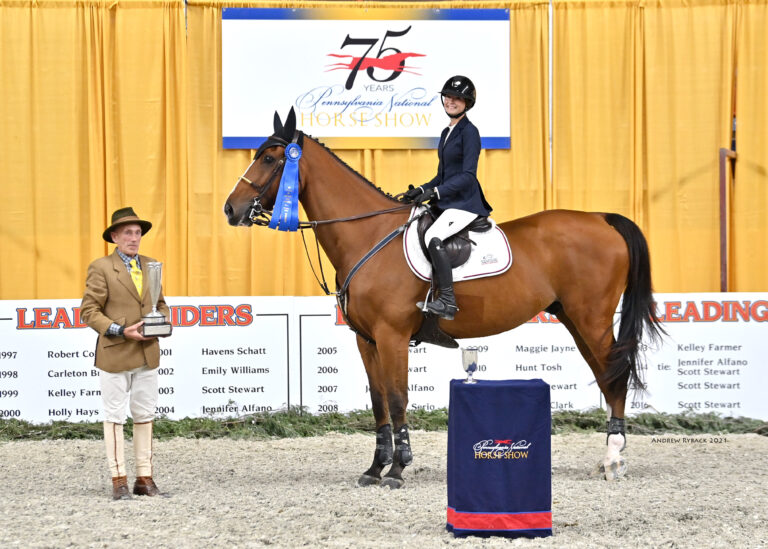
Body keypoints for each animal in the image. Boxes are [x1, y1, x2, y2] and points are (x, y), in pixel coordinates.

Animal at [224, 109, 664, 486]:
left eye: (269, 158)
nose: (231, 209)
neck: (367, 236)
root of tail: (602, 219)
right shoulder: (367, 340)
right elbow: (378, 402)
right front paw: (375, 468)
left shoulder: (393, 336)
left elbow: (398, 398)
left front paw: (398, 470)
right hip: (575, 318)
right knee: (606, 376)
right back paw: (610, 458)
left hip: (591, 318)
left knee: (615, 377)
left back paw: (613, 461)